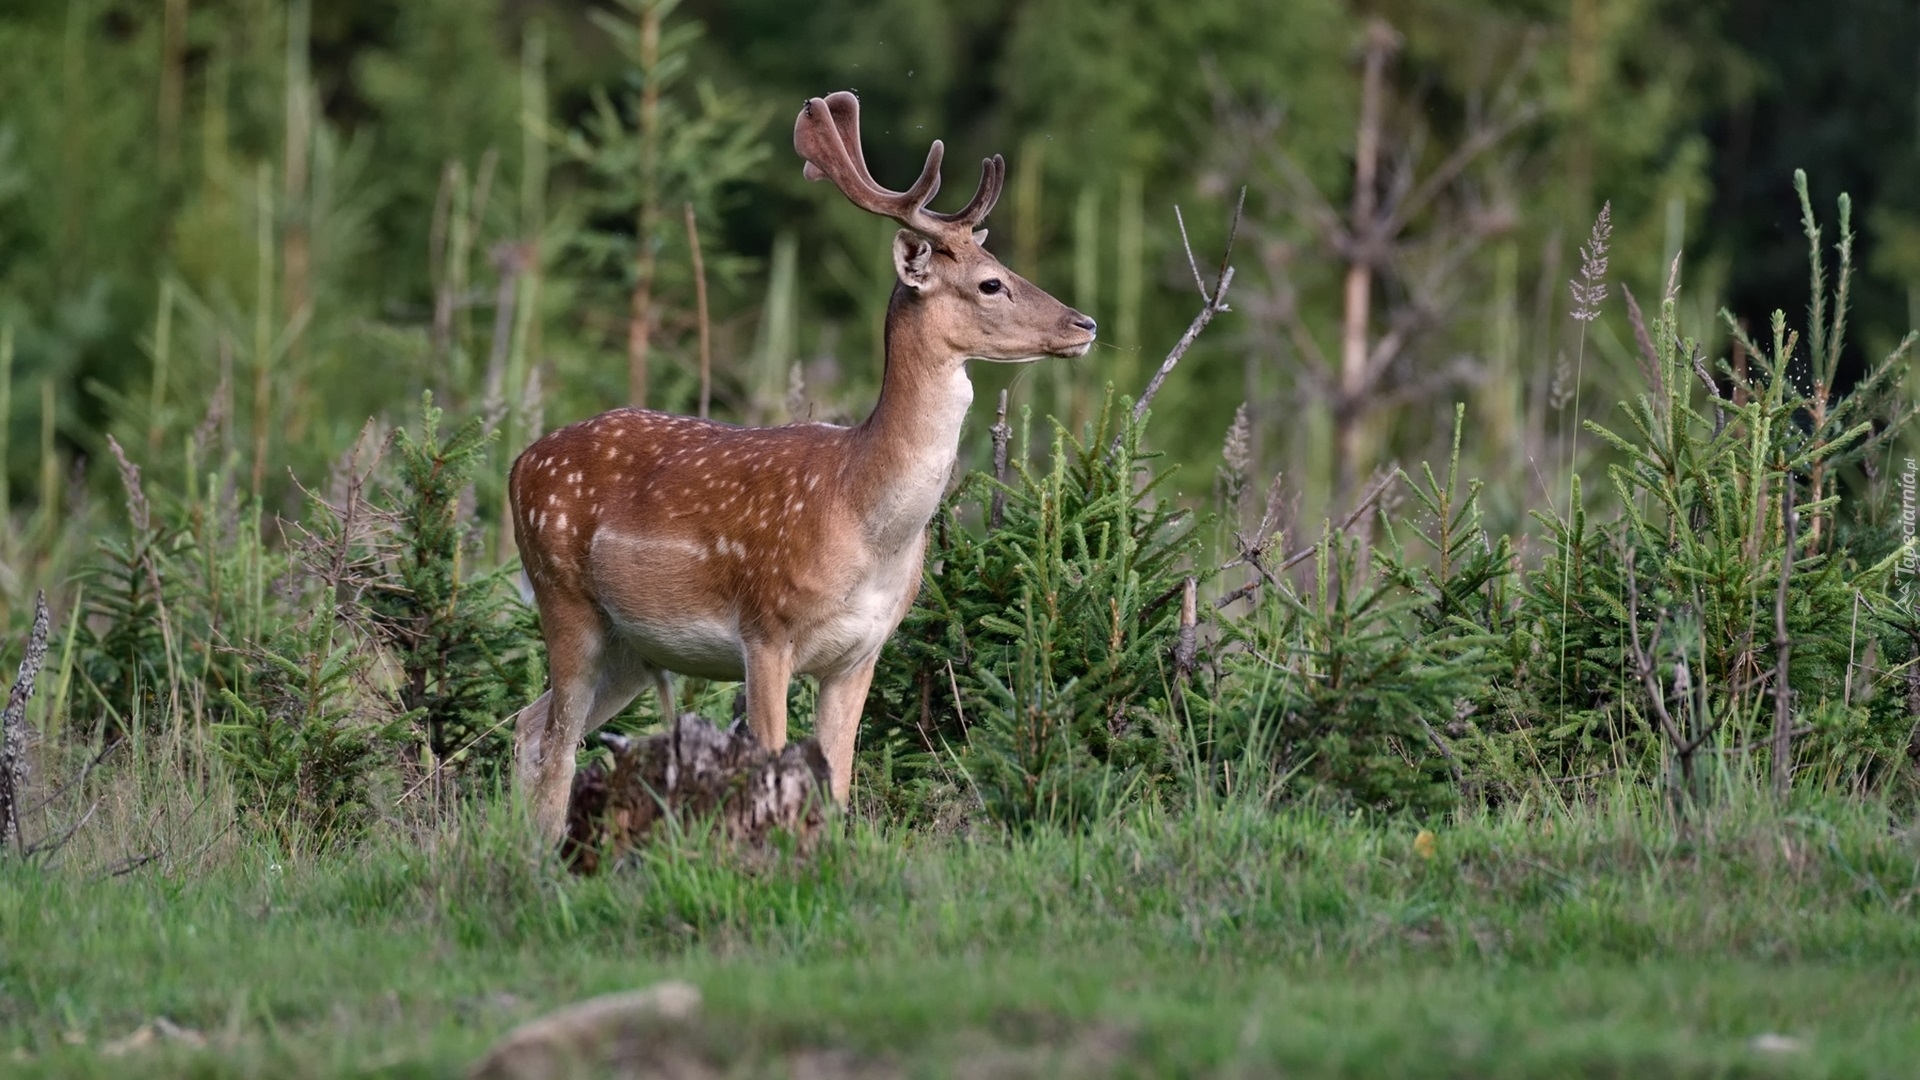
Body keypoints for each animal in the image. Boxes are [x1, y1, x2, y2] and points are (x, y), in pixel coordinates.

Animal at [510, 88, 1090, 837]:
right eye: (992, 283)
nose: (1084, 324)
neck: (864, 517)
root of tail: (520, 463)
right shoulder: (766, 630)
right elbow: (770, 764)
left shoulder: (862, 652)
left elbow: (837, 782)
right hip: (565, 598)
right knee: (555, 746)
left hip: (633, 644)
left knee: (530, 726)